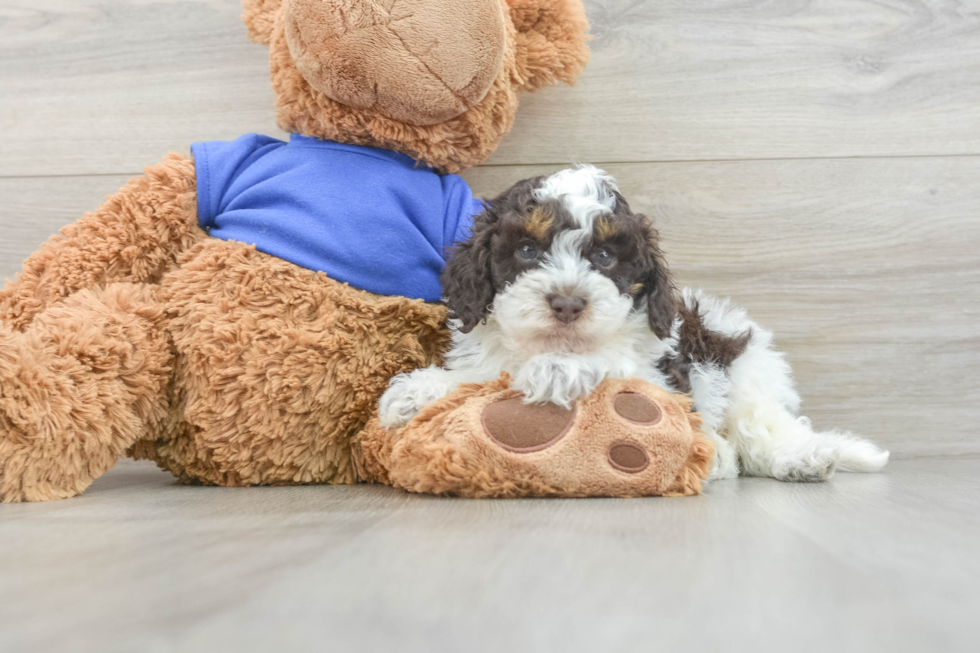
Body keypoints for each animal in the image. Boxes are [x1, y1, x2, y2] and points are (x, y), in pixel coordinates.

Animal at [380, 166, 888, 482]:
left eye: (605, 257)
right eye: (526, 250)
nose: (568, 304)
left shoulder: (659, 375)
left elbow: (613, 364)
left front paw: (559, 369)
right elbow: (477, 378)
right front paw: (419, 389)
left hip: (740, 372)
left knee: (764, 428)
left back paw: (798, 458)